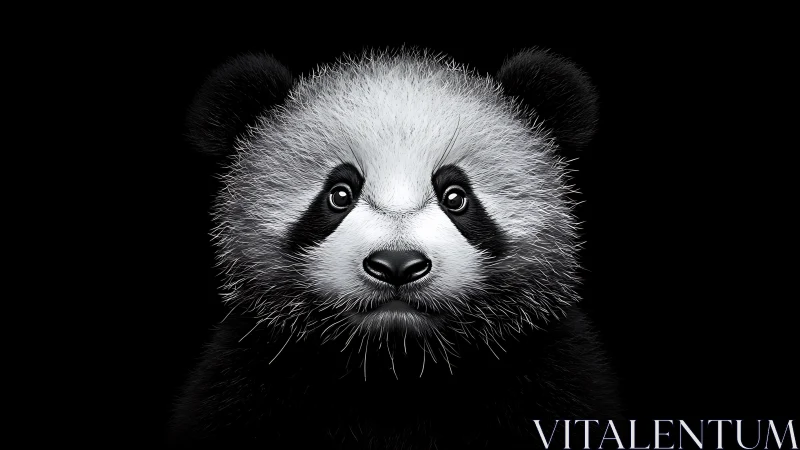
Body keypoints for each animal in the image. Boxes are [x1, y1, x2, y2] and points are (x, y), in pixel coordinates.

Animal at [170, 48, 621, 449]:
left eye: (456, 197)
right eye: (339, 194)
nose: (397, 265)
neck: (395, 367)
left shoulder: (546, 368)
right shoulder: (251, 373)